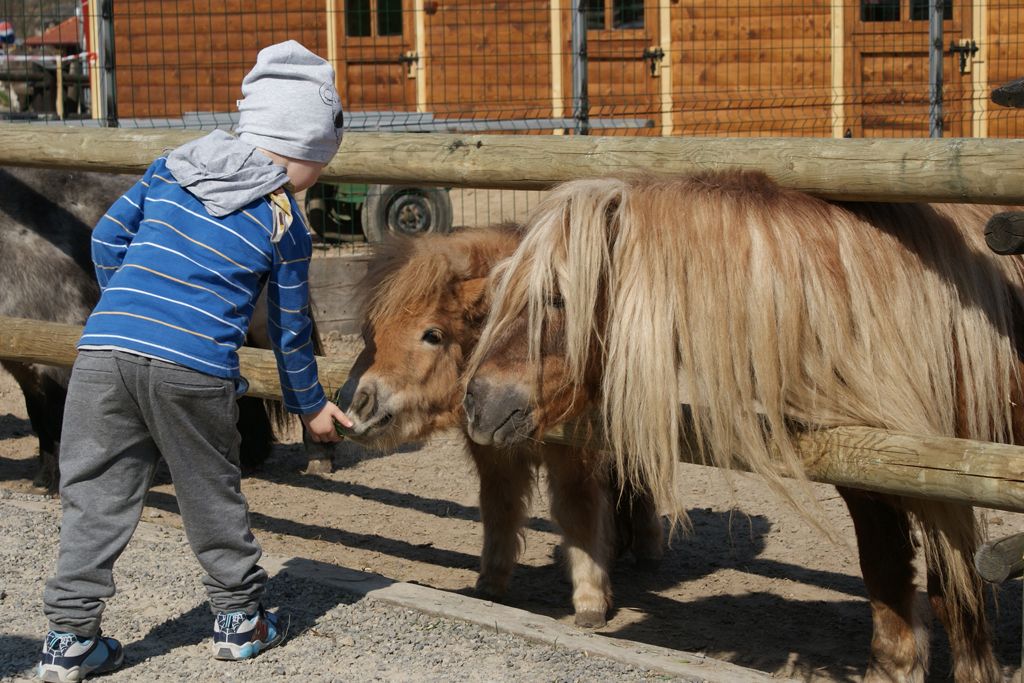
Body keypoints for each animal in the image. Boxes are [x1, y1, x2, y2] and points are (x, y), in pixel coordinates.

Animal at [335, 225, 663, 630]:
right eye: (370, 332)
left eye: (432, 335)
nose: (356, 405)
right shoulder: (494, 457)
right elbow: (499, 510)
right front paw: (490, 585)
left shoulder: (574, 462)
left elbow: (578, 515)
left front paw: (590, 602)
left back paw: (647, 548)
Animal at [468, 172, 1024, 683]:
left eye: (558, 298)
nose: (476, 400)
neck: (867, 312)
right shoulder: (870, 477)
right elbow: (886, 578)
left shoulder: (945, 486)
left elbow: (956, 596)